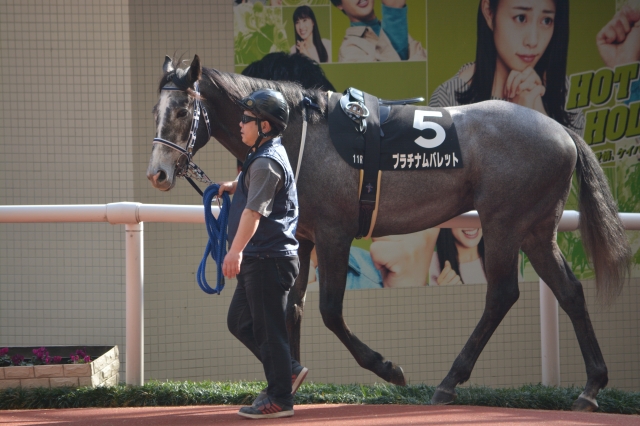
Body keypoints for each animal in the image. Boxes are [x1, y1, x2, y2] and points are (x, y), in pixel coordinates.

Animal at [149, 55, 632, 412]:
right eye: (155, 111)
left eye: (181, 110)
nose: (157, 174)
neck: (301, 134)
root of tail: (561, 132)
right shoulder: (303, 237)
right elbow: (289, 309)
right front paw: (285, 380)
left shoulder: (335, 233)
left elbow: (328, 311)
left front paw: (387, 368)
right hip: (536, 229)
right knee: (568, 291)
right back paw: (590, 387)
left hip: (504, 223)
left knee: (502, 294)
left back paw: (448, 382)